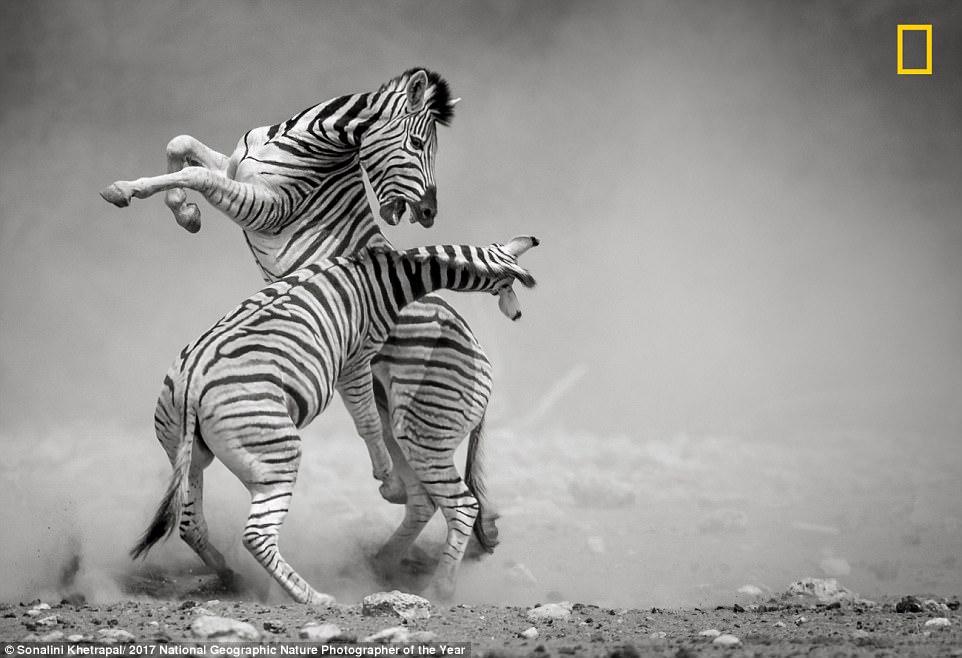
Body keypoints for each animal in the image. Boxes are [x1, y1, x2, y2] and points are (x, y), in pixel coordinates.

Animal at [98, 70, 506, 576]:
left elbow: (195, 172)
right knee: (422, 500)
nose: (430, 215)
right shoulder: (235, 168)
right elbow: (182, 145)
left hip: (423, 423)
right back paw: (381, 563)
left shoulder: (266, 205)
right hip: (398, 419)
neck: (301, 142)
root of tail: (484, 362)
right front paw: (183, 212)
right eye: (416, 143)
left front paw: (131, 192)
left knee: (452, 503)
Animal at [133, 236, 540, 604]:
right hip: (280, 455)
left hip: (186, 455)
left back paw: (234, 575)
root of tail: (192, 386)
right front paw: (389, 484)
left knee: (191, 524)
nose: (519, 315)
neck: (379, 277)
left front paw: (390, 486)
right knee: (258, 536)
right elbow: (367, 422)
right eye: (507, 285)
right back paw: (330, 596)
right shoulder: (357, 358)